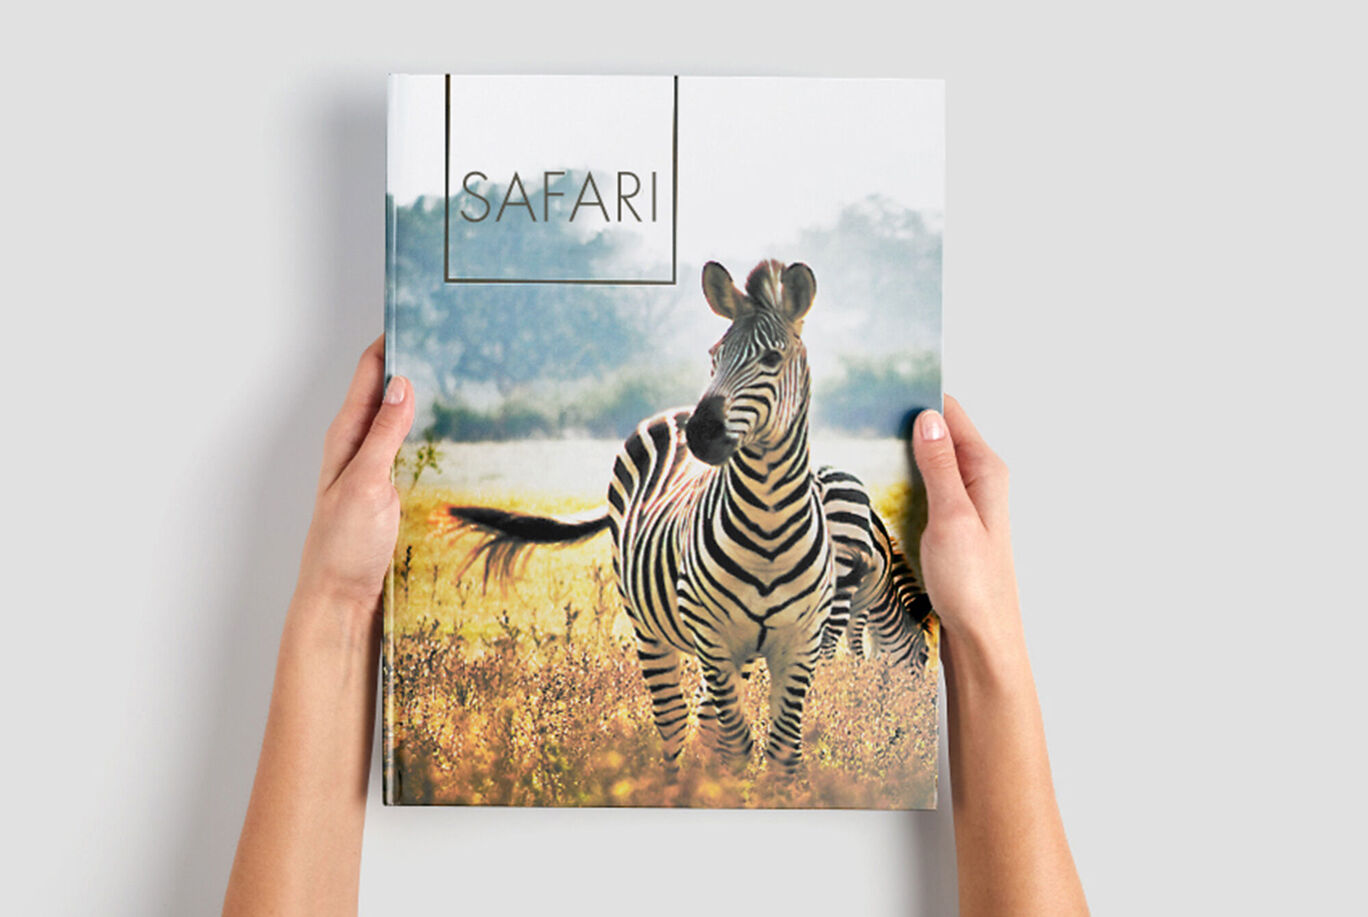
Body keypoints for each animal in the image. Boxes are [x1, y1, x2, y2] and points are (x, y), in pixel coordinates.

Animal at [445, 259, 933, 774]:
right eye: (714, 356)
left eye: (772, 360)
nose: (700, 433)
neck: (769, 525)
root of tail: (674, 412)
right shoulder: (721, 639)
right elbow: (738, 740)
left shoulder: (797, 642)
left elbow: (784, 748)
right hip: (651, 628)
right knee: (674, 718)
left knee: (701, 716)